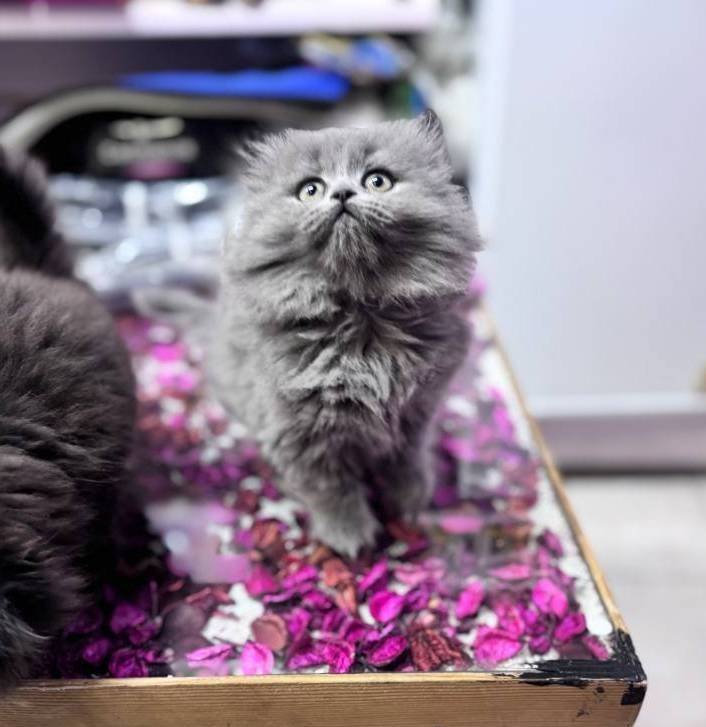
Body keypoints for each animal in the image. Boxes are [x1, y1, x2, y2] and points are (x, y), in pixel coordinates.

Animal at [210, 111, 480, 557]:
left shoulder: (417, 411)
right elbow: (331, 489)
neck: (363, 324)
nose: (340, 193)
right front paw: (350, 535)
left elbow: (406, 459)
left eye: (377, 181)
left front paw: (408, 498)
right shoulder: (301, 435)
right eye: (310, 190)